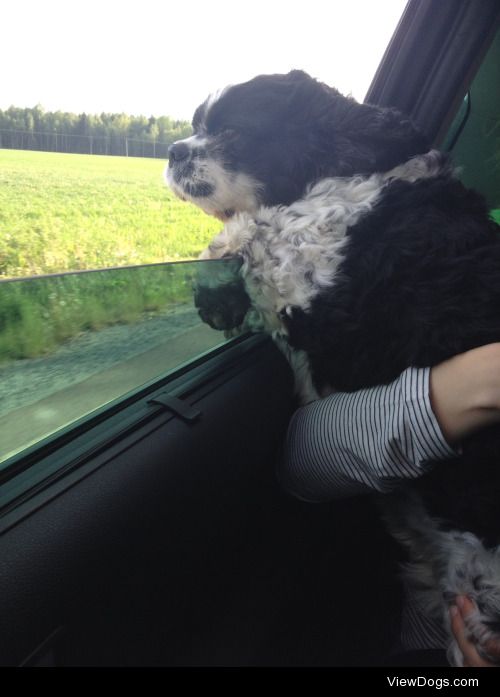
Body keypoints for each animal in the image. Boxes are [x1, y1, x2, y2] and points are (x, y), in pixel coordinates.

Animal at [166, 69, 500, 664]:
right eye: (195, 126)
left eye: (231, 131)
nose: (173, 149)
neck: (352, 185)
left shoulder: (319, 283)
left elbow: (263, 231)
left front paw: (219, 273)